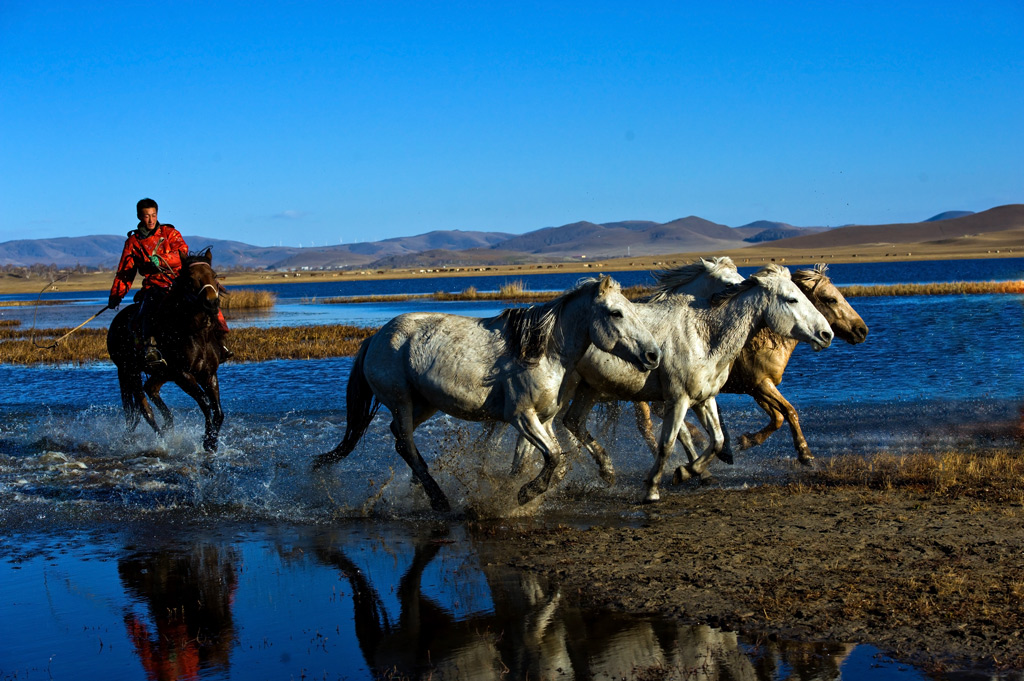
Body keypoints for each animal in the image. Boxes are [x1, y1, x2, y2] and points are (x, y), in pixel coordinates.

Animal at [108, 248, 226, 450]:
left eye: (214, 275)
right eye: (190, 279)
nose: (211, 303)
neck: (195, 332)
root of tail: (116, 322)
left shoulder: (209, 374)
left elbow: (218, 410)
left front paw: (212, 441)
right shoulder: (182, 375)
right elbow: (204, 402)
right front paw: (207, 440)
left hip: (160, 373)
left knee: (150, 390)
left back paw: (167, 425)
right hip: (129, 371)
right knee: (143, 409)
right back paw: (161, 438)